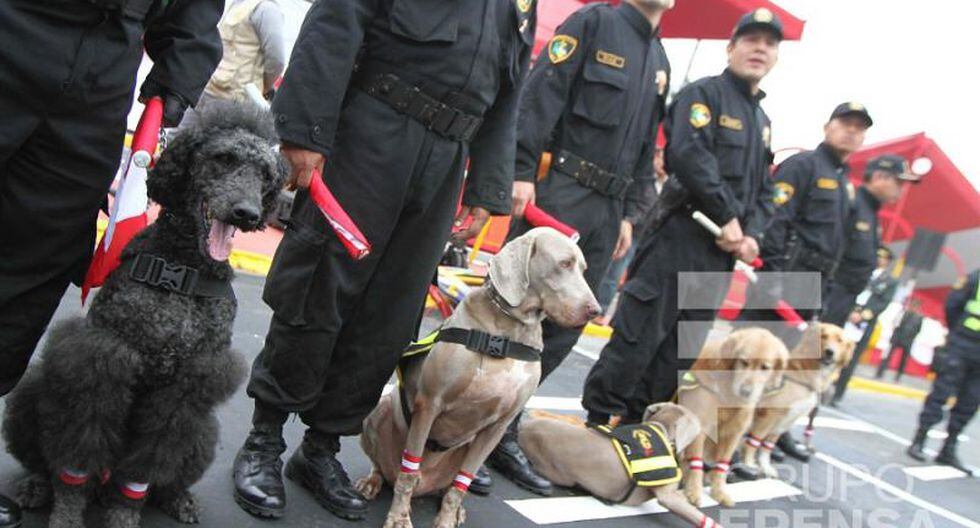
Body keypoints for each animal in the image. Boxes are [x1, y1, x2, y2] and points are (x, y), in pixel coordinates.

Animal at [352, 229, 596, 528]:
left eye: (583, 269)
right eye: (564, 263)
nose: (596, 311)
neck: (506, 332)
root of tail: (426, 484)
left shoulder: (497, 427)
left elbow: (462, 484)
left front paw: (447, 518)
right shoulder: (429, 404)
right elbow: (407, 471)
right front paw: (398, 517)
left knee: (448, 484)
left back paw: (456, 509)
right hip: (379, 410)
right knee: (389, 469)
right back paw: (372, 482)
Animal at [680, 330, 788, 508]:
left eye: (765, 367)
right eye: (743, 362)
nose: (746, 392)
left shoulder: (733, 433)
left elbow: (721, 466)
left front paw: (719, 492)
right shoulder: (699, 426)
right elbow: (696, 463)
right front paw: (693, 491)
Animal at [740, 322, 852, 478]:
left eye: (840, 340)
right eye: (823, 336)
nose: (829, 352)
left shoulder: (783, 421)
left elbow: (767, 447)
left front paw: (765, 466)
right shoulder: (768, 416)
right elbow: (753, 442)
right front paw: (749, 464)